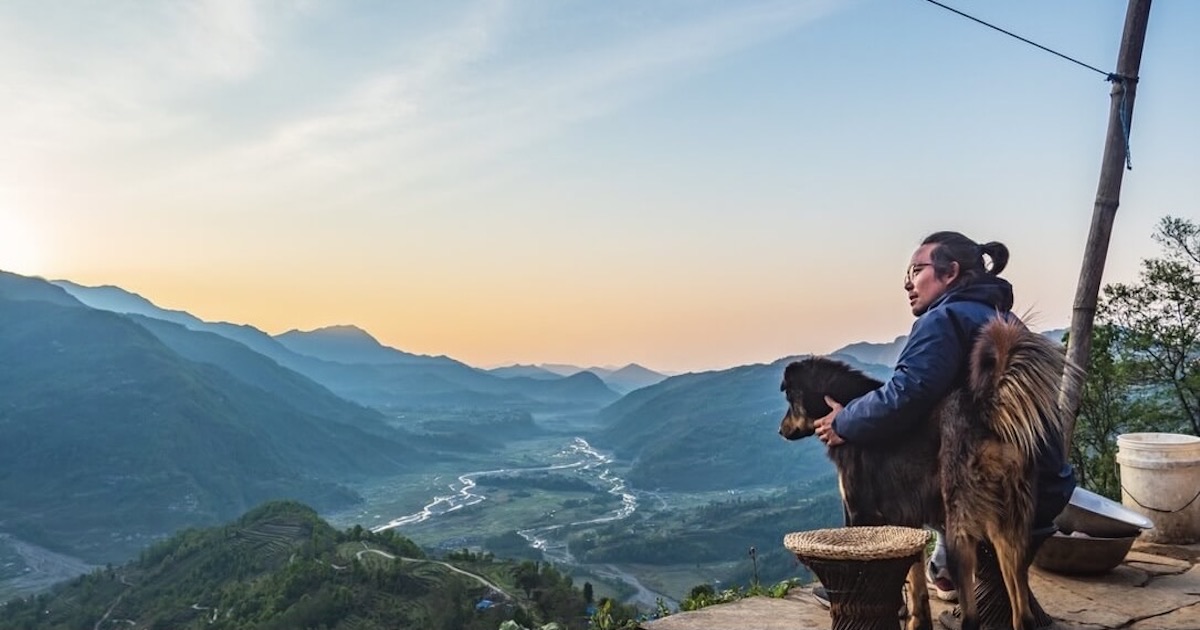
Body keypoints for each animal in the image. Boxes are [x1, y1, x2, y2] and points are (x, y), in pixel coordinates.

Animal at [782, 319, 1075, 628]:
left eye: (789, 400)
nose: (780, 430)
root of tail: (984, 412)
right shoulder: (907, 522)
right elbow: (916, 585)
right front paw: (916, 622)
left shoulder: (860, 514)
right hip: (1011, 531)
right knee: (1022, 613)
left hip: (961, 528)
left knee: (973, 612)